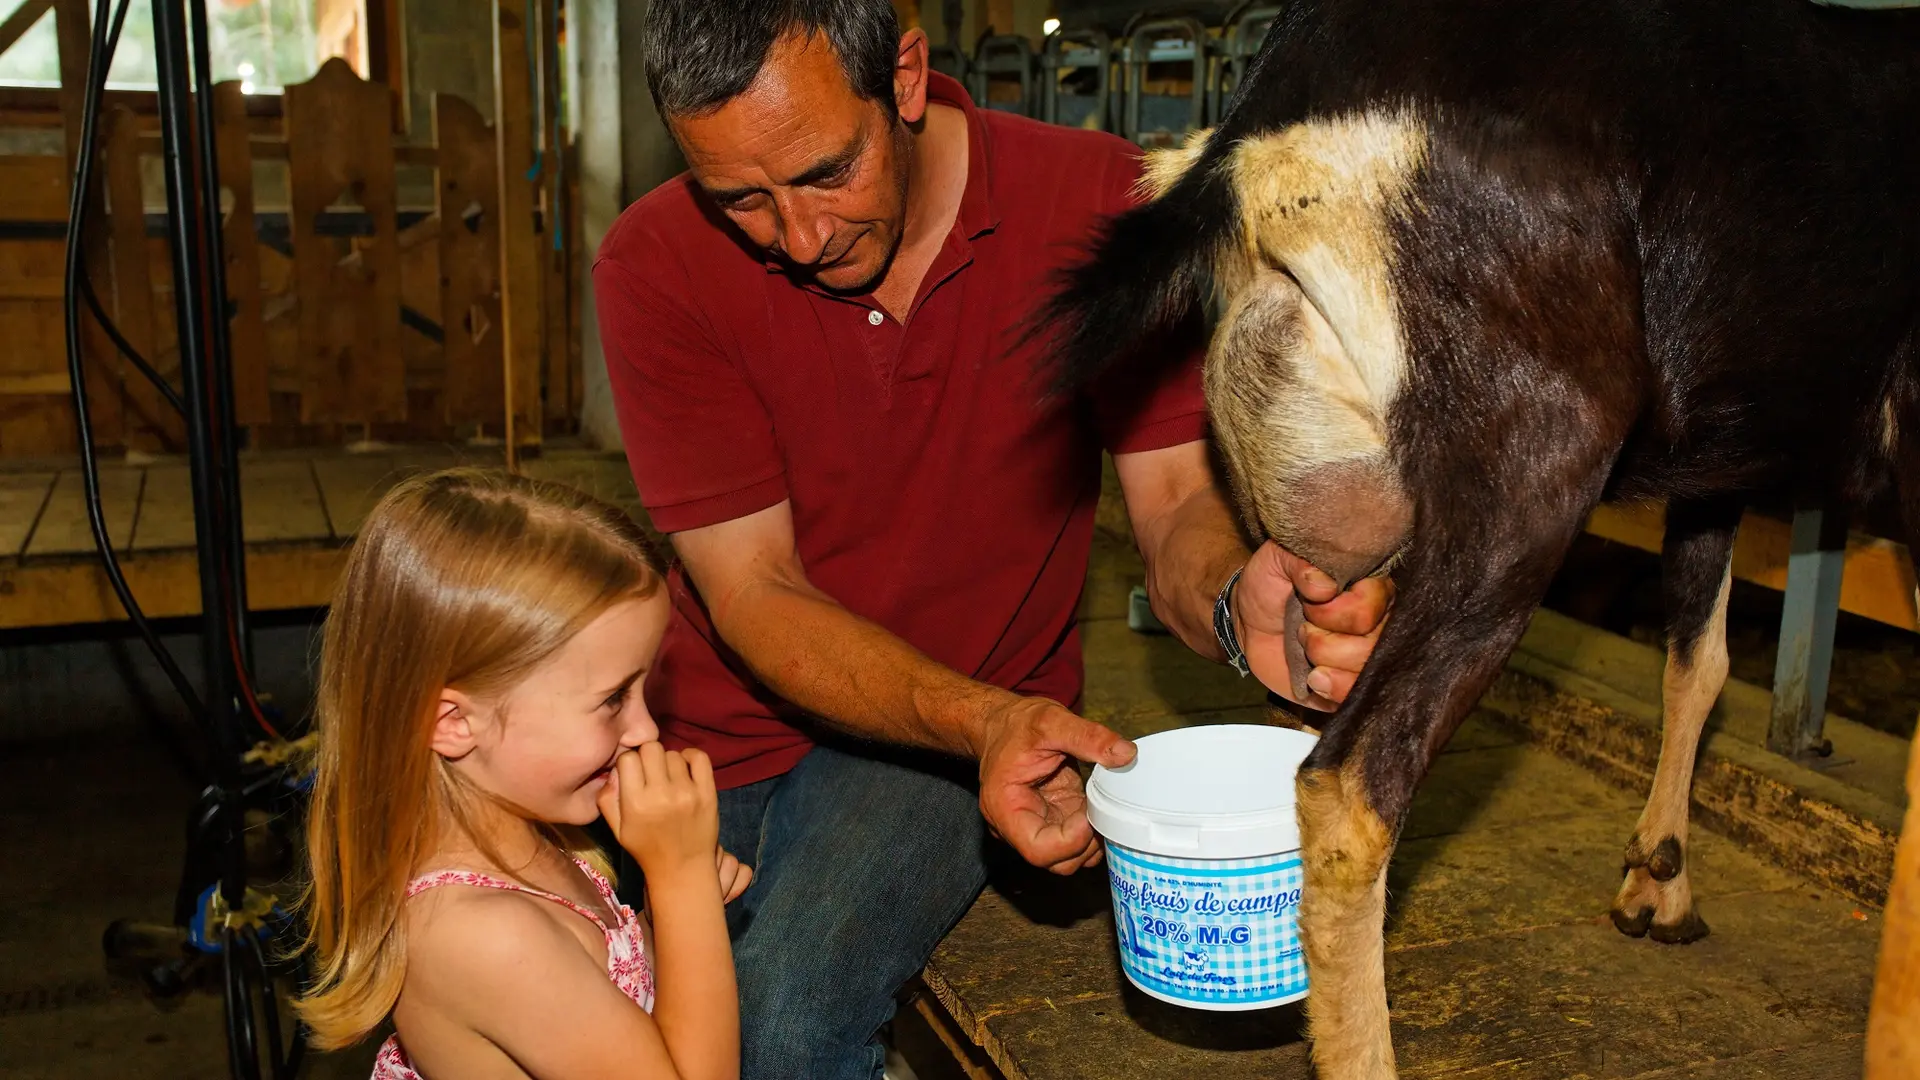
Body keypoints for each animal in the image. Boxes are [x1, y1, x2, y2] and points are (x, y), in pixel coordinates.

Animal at [1036, 2, 1920, 1076]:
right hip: (1534, 453)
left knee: (1302, 717)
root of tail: (1255, 134)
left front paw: (1658, 880)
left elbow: (1697, 660)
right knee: (1351, 781)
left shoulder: (1712, 467)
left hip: (1330, 522)